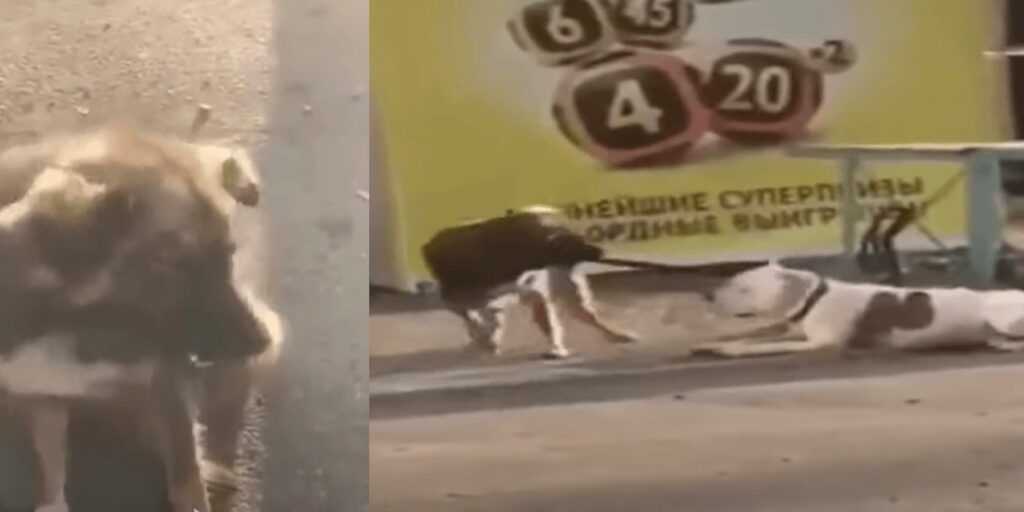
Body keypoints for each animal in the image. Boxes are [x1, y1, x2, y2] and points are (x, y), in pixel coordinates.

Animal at [0, 123, 282, 512]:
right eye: (177, 264)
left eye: (228, 256)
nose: (262, 340)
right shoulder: (42, 394)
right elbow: (51, 467)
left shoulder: (166, 385)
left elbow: (187, 477)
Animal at [419, 205, 634, 358]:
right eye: (574, 242)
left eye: (580, 238)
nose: (602, 251)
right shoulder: (461, 299)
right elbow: (479, 320)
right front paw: (486, 339)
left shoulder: (533, 290)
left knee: (586, 315)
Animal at [700, 260, 1024, 356]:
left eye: (744, 289)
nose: (709, 295)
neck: (815, 297)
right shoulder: (790, 329)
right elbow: (756, 335)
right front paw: (714, 343)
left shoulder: (820, 342)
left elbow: (764, 346)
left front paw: (731, 350)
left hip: (998, 314)